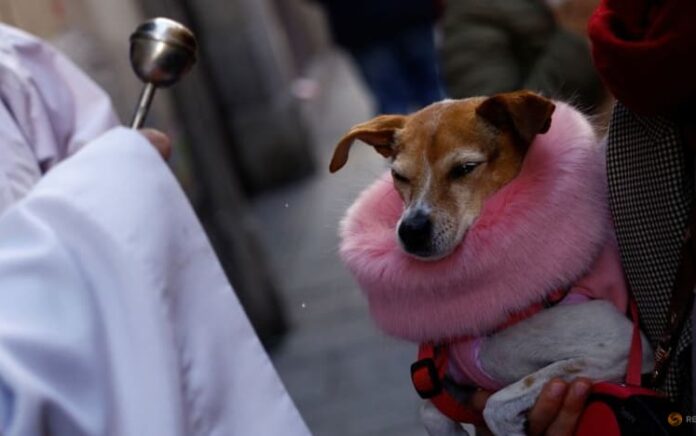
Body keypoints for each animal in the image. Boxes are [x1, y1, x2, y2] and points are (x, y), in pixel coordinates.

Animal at [330, 90, 652, 434]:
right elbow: (430, 410)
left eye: (465, 168)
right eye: (398, 176)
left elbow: (497, 404)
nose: (411, 231)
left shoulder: (619, 345)